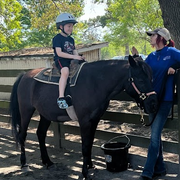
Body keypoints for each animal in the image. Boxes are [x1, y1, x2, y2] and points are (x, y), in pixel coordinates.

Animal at [9, 56, 158, 179]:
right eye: (140, 79)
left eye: (151, 78)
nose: (153, 104)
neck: (95, 82)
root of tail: (24, 75)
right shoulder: (84, 121)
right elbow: (85, 146)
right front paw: (85, 173)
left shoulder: (94, 120)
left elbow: (90, 143)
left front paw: (90, 166)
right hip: (26, 111)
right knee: (22, 135)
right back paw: (24, 164)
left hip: (45, 114)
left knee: (40, 134)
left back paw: (48, 162)